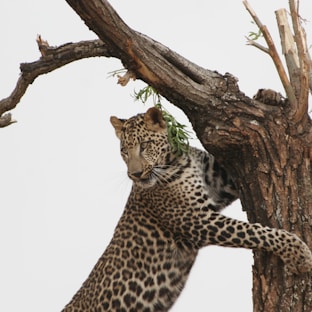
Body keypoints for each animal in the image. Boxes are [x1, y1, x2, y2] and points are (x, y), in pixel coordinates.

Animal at [62, 106, 312, 310]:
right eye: (124, 151)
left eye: (145, 145)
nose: (135, 174)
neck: (177, 160)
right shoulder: (197, 220)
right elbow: (254, 232)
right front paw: (298, 253)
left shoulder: (220, 182)